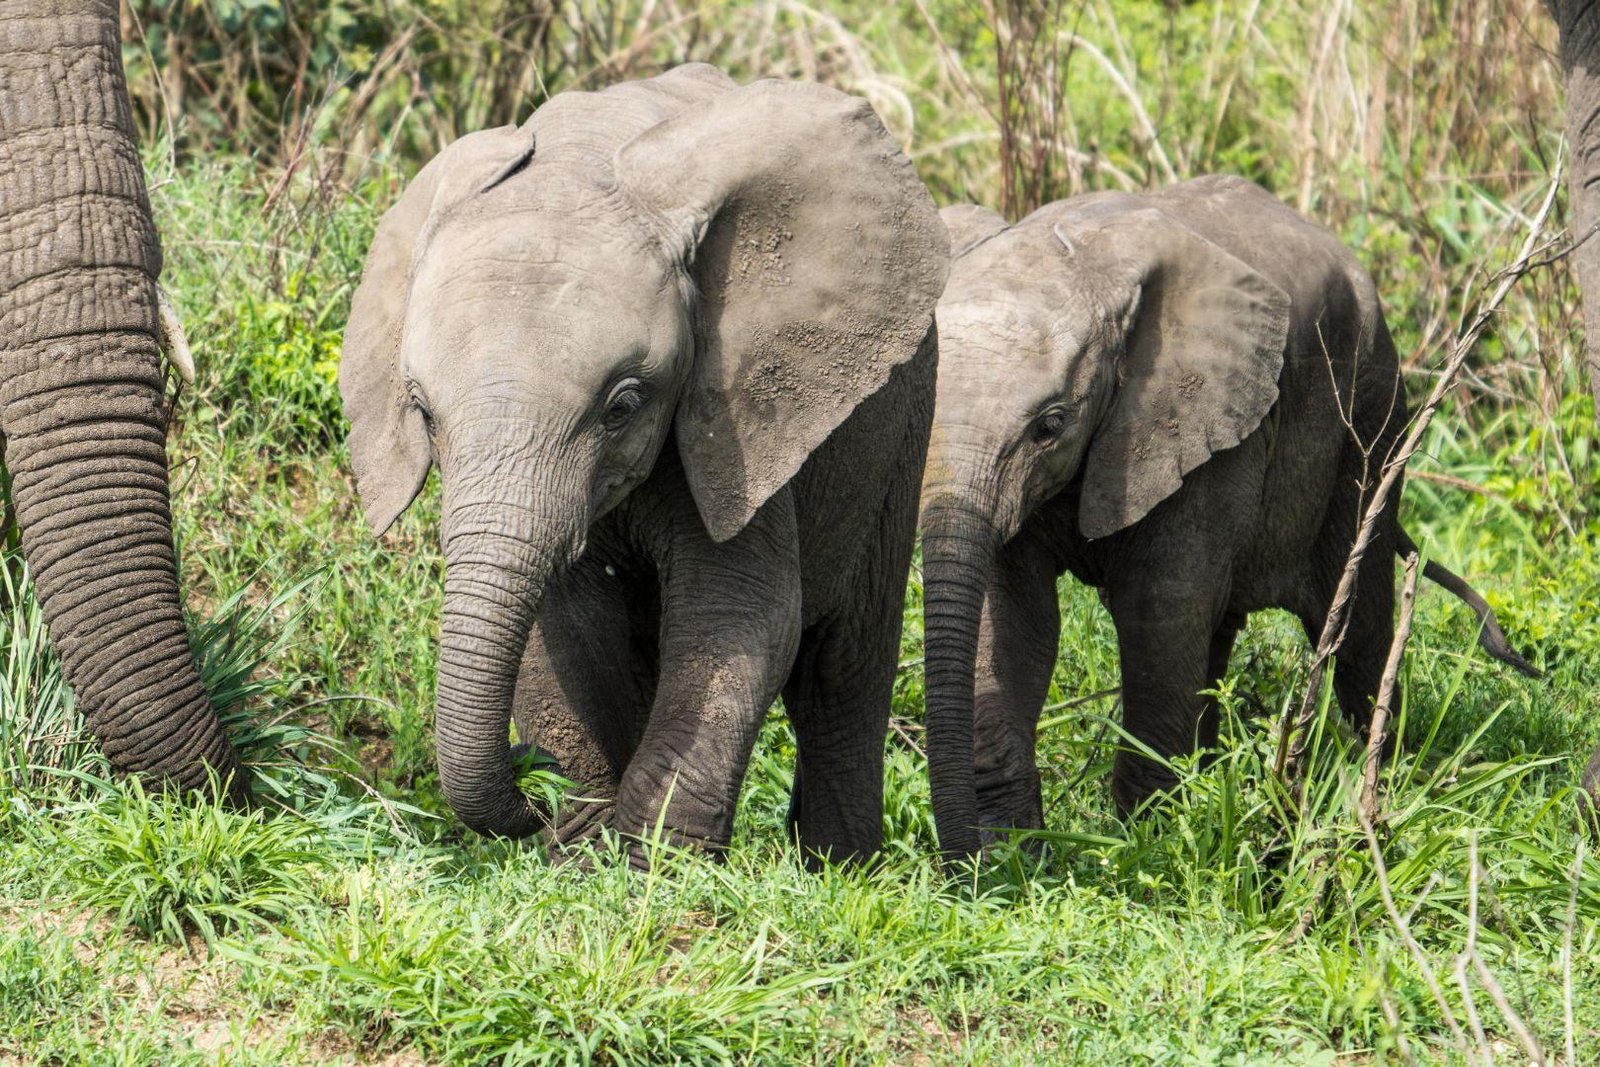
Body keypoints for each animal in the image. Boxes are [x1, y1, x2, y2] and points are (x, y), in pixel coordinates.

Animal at [928, 175, 1536, 857]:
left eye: (1050, 426)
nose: (956, 862)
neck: (1084, 264)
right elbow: (1011, 620)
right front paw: (1008, 858)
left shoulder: (1209, 430)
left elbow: (1160, 610)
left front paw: (1145, 848)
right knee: (1220, 628)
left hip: (1374, 412)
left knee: (1358, 620)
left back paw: (1387, 778)